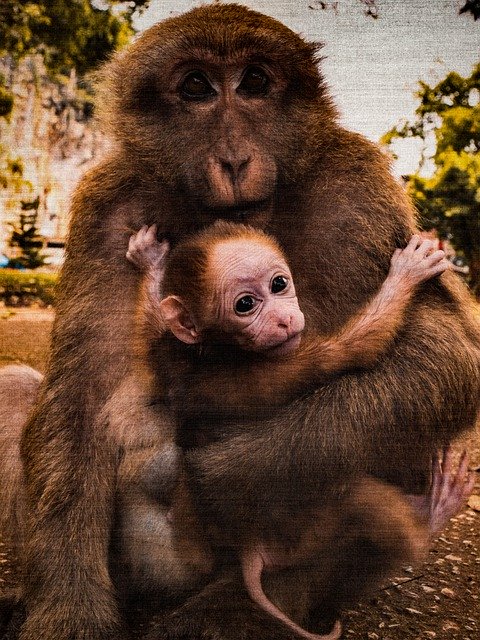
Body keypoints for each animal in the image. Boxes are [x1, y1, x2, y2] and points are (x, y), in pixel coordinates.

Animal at [124, 221, 472, 640]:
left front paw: (151, 263)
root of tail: (251, 552)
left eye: (279, 284)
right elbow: (356, 349)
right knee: (360, 497)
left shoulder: (173, 356)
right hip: (299, 533)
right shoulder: (274, 366)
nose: (284, 320)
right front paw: (407, 273)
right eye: (245, 305)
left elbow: (151, 338)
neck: (217, 350)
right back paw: (430, 519)